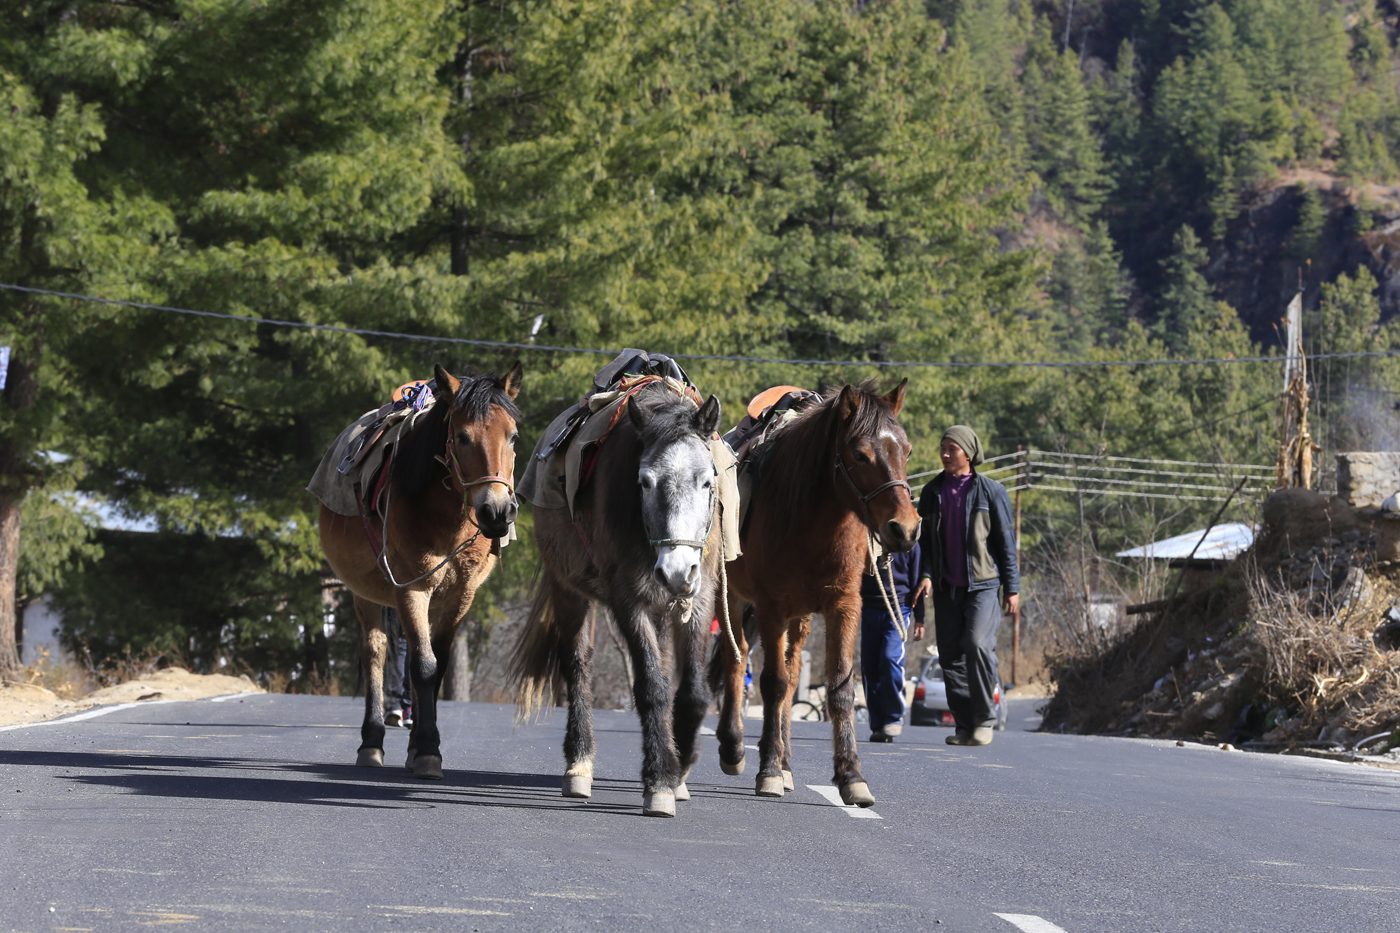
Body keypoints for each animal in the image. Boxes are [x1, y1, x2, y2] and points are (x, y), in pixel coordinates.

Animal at [318, 362, 523, 780]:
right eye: (462, 437)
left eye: (513, 436)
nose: (497, 512)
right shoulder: (411, 589)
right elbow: (424, 667)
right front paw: (428, 751)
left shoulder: (460, 596)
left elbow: (435, 667)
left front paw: (423, 748)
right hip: (365, 594)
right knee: (376, 655)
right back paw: (371, 743)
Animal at [511, 382, 723, 817]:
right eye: (644, 482)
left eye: (706, 481)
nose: (676, 571)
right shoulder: (629, 600)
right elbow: (652, 687)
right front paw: (659, 779)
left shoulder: (699, 598)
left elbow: (694, 691)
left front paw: (680, 767)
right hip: (569, 590)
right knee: (577, 665)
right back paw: (579, 763)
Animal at [710, 380, 919, 807]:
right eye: (860, 454)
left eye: (906, 450)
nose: (904, 528)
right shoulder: (770, 608)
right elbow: (772, 684)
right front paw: (768, 771)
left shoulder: (844, 606)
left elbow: (838, 688)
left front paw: (851, 775)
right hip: (735, 600)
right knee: (736, 660)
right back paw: (735, 748)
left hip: (801, 617)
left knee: (791, 679)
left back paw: (786, 763)